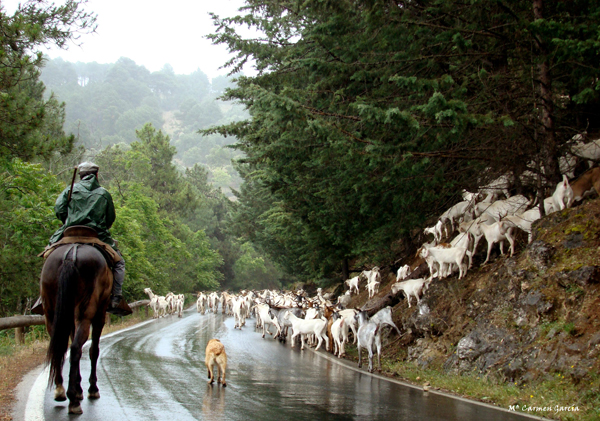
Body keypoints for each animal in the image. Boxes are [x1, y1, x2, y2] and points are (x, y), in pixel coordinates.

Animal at [42, 243, 113, 414]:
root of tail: (70, 254)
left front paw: (79, 388)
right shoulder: (100, 314)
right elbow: (94, 350)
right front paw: (91, 389)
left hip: (52, 312)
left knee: (60, 347)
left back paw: (61, 391)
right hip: (87, 311)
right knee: (75, 348)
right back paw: (73, 400)